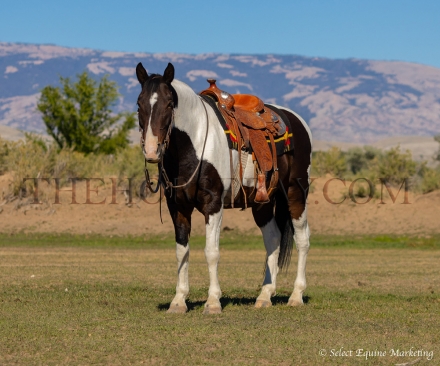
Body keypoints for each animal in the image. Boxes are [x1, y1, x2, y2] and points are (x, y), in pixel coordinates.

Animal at [136, 61, 312, 314]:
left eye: (169, 103)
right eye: (139, 103)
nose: (151, 150)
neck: (195, 142)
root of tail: (297, 121)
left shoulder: (213, 205)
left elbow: (211, 252)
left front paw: (212, 302)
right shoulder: (178, 207)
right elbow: (182, 251)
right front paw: (178, 301)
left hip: (296, 194)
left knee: (302, 239)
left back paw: (296, 295)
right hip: (263, 203)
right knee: (273, 240)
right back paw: (264, 295)